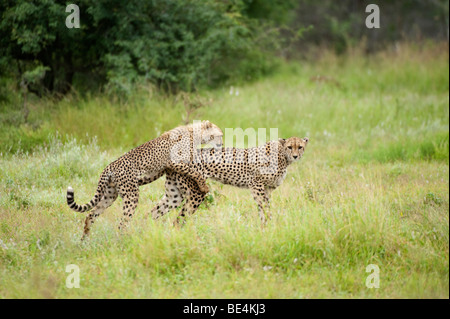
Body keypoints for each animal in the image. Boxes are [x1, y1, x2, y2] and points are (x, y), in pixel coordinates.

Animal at [67, 121, 223, 239]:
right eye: (219, 135)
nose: (221, 144)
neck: (194, 133)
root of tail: (110, 165)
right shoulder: (174, 162)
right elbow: (194, 172)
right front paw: (204, 186)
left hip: (110, 195)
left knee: (90, 215)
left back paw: (85, 240)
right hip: (131, 195)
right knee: (122, 223)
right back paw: (125, 240)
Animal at [149, 137, 308, 225]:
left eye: (300, 147)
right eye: (290, 147)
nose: (295, 156)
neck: (283, 156)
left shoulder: (267, 189)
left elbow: (264, 208)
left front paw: (265, 227)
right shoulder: (256, 184)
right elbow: (263, 207)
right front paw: (268, 225)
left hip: (174, 196)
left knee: (152, 213)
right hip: (196, 193)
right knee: (178, 220)